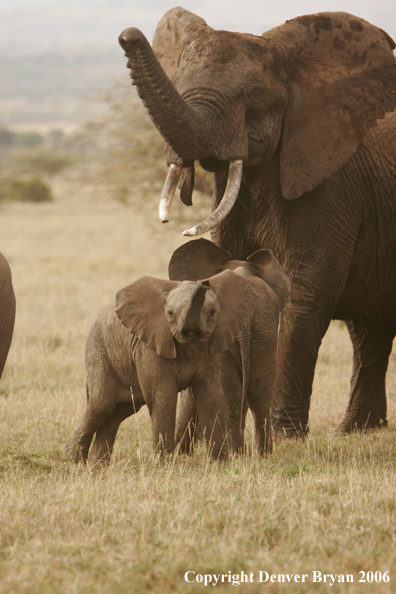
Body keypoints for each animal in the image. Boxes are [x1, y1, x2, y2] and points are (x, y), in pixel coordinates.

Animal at [65, 266, 270, 460]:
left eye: (212, 313)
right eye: (170, 314)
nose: (204, 283)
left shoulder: (210, 350)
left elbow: (211, 395)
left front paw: (220, 463)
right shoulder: (150, 346)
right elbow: (164, 397)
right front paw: (165, 464)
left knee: (120, 410)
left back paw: (96, 466)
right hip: (99, 351)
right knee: (102, 405)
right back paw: (74, 457)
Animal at [119, 9, 396, 434]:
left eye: (254, 97)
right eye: (178, 84)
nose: (127, 35)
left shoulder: (333, 188)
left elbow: (300, 296)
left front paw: (285, 437)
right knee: (369, 331)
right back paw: (356, 429)